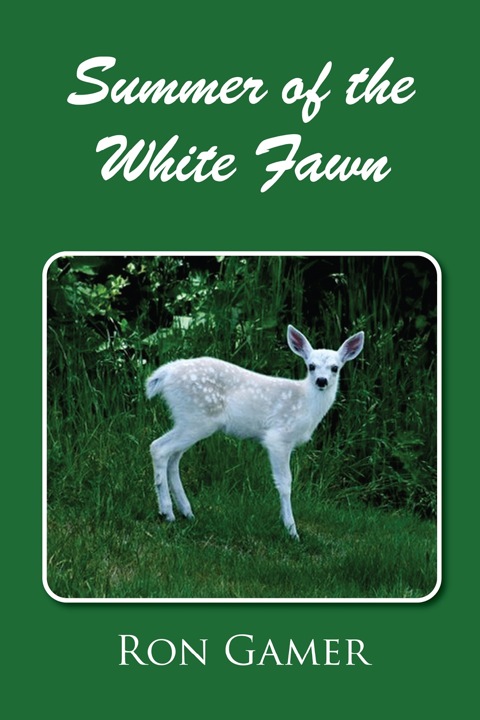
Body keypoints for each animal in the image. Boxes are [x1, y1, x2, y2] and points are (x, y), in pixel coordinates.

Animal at [146, 325, 364, 539]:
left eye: (335, 368)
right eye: (311, 366)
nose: (321, 381)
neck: (305, 404)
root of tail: (164, 374)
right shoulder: (278, 438)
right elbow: (285, 483)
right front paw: (291, 530)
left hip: (188, 420)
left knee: (173, 458)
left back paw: (186, 511)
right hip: (197, 419)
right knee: (158, 447)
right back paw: (167, 512)